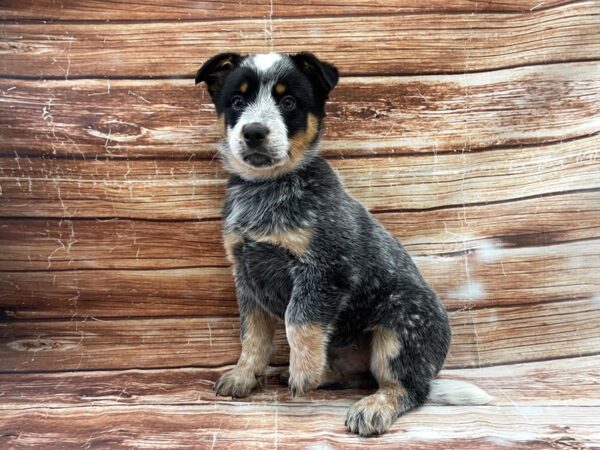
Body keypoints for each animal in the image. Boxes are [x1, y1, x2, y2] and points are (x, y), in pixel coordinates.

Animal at [197, 51, 492, 436]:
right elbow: (253, 336)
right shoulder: (247, 275)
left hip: (398, 331)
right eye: (236, 101)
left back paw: (371, 406)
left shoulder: (326, 269)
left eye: (289, 102)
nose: (254, 131)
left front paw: (303, 373)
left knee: (407, 389)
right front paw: (245, 375)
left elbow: (298, 320)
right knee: (358, 377)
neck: (266, 189)